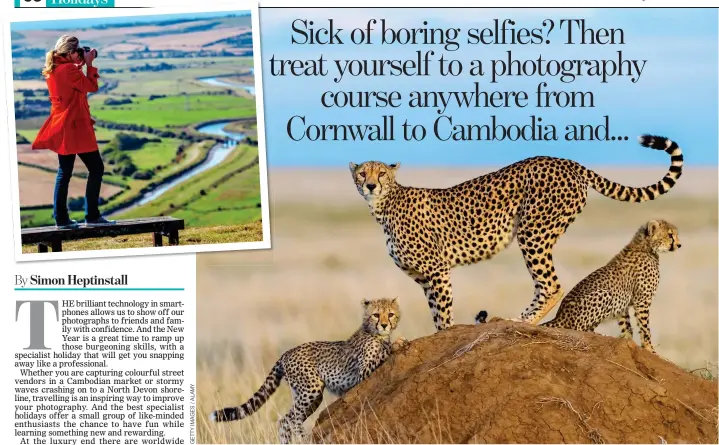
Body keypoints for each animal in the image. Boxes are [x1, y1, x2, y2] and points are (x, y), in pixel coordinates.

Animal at [211, 296, 408, 442]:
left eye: (391, 314)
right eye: (376, 314)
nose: (384, 324)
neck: (376, 335)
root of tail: (286, 353)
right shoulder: (362, 373)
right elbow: (383, 354)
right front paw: (398, 344)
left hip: (311, 396)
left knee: (285, 420)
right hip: (310, 389)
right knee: (293, 418)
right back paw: (303, 437)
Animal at [352, 134, 684, 330]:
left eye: (381, 173)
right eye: (361, 173)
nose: (370, 185)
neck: (384, 204)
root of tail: (564, 161)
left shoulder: (437, 270)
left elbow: (443, 313)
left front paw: (445, 335)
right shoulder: (423, 277)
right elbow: (435, 312)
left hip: (533, 231)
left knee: (551, 284)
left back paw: (524, 321)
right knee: (544, 284)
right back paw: (517, 319)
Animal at [544, 219, 684, 354]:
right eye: (670, 235)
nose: (679, 245)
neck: (645, 247)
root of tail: (559, 315)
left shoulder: (623, 303)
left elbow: (626, 326)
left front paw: (627, 341)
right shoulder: (642, 301)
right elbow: (645, 328)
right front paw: (650, 349)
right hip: (604, 294)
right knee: (578, 329)